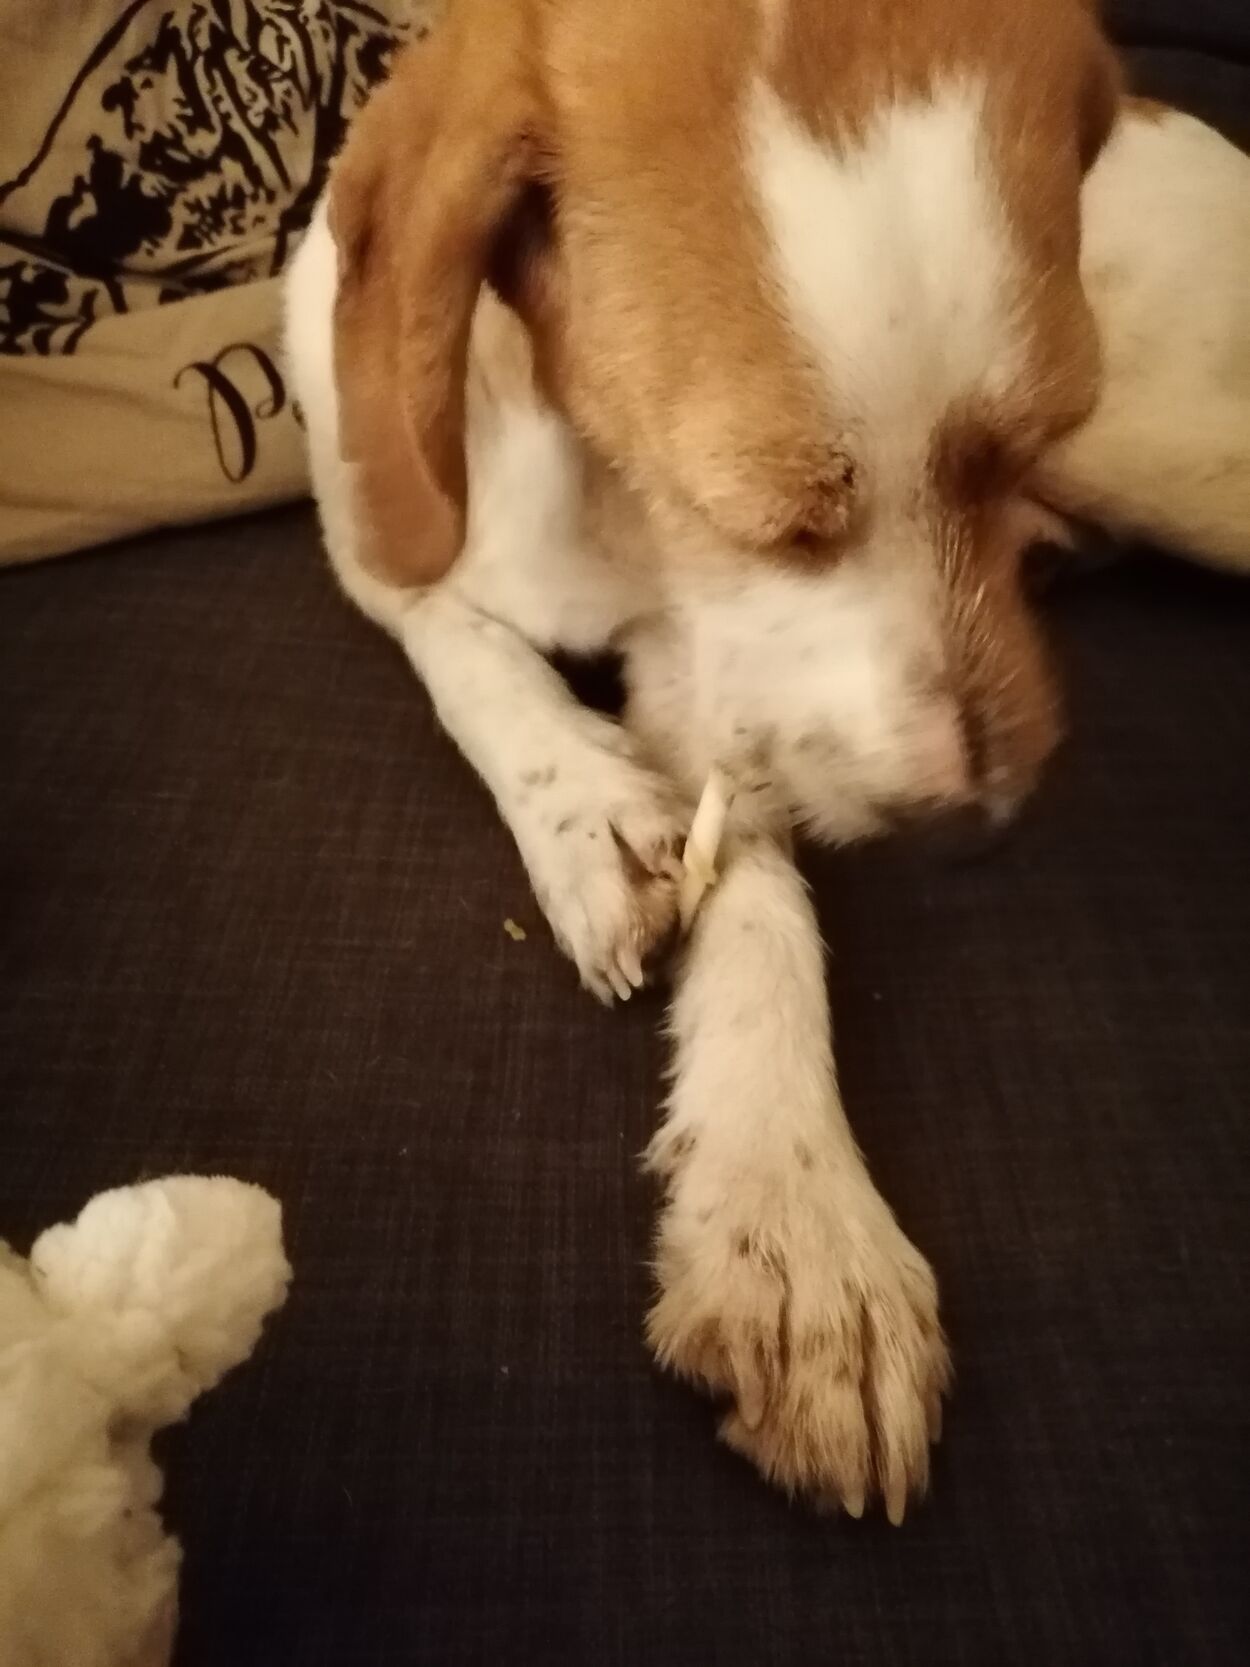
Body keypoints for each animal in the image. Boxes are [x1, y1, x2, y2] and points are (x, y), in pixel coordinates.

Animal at [284, 0, 1250, 1520]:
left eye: (1019, 446)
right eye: (777, 518)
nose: (976, 827)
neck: (606, 502)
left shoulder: (714, 679)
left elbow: (757, 913)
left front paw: (797, 1222)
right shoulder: (375, 534)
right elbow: (472, 653)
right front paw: (585, 812)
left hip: (1175, 452)